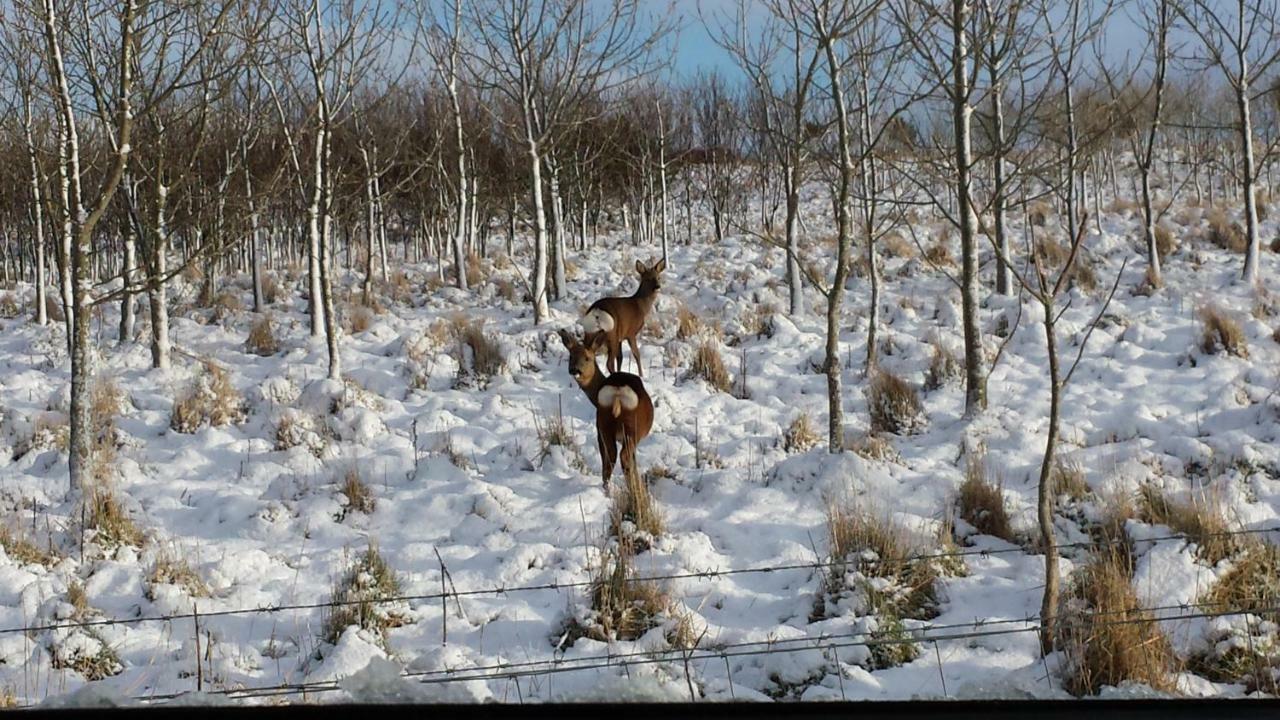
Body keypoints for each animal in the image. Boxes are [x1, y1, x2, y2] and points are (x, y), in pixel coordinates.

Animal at [558, 326, 655, 484]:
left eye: (587, 358)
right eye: (571, 356)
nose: (574, 370)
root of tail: (617, 393)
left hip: (603, 424)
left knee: (610, 458)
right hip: (632, 429)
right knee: (623, 457)